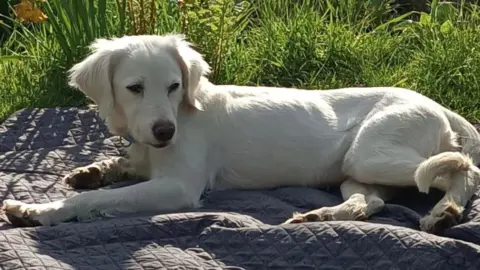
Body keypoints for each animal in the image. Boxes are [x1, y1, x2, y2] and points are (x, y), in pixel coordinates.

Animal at [0, 33, 480, 232]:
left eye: (174, 86)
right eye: (134, 88)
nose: (165, 132)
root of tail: (438, 104)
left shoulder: (180, 187)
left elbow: (97, 201)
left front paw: (40, 210)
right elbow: (119, 166)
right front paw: (92, 171)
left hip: (373, 154)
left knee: (464, 169)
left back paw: (446, 212)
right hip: (355, 170)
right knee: (371, 202)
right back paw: (319, 217)